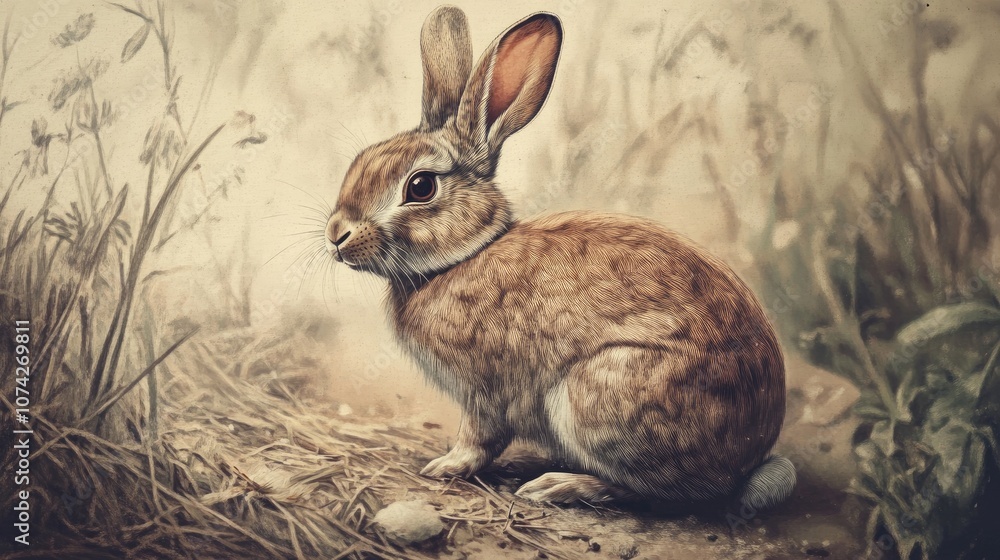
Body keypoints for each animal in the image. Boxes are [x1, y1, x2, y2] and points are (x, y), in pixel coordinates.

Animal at [323, 6, 795, 509]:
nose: (336, 235)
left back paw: (557, 485)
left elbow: (479, 438)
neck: (463, 257)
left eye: (420, 186)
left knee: (660, 492)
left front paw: (445, 466)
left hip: (600, 397)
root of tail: (746, 462)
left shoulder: (486, 391)